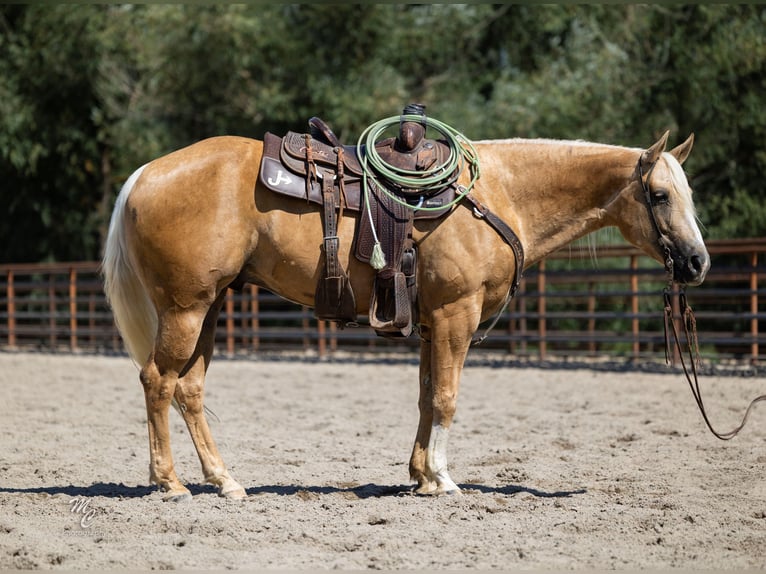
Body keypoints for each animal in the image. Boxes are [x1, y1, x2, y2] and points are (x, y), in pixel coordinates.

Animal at [102, 127, 709, 501]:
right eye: (659, 195)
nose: (697, 262)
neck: (497, 194)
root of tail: (144, 174)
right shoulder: (457, 314)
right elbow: (446, 397)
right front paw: (443, 478)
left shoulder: (432, 324)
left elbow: (425, 396)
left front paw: (421, 477)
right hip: (185, 309)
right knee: (158, 381)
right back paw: (170, 483)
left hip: (207, 309)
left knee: (188, 389)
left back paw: (224, 481)